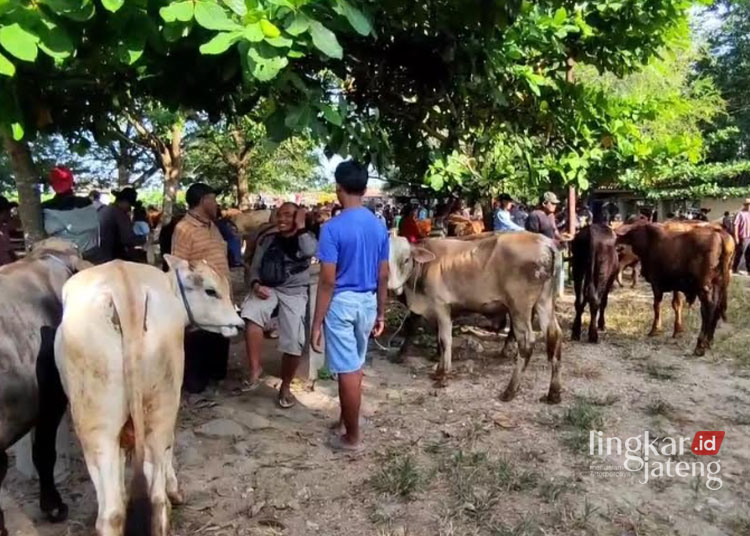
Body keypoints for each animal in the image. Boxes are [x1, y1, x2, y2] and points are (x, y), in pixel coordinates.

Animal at [55, 255, 244, 536]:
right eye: (211, 290)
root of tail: (125, 287)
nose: (239, 323)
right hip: (157, 408)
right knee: (152, 497)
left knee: (116, 512)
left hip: (99, 427)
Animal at [388, 232, 564, 404]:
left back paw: (510, 391)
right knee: (554, 335)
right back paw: (553, 394)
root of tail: (545, 242)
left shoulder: (442, 307)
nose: (391, 285)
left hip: (519, 306)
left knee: (526, 342)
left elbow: (445, 341)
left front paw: (443, 375)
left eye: (406, 259)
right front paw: (438, 369)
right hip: (544, 301)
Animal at [616, 222, 736, 356]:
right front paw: (677, 330)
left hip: (704, 288)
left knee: (708, 310)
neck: (649, 240)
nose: (619, 248)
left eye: (634, 236)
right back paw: (709, 341)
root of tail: (720, 234)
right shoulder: (676, 286)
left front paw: (655, 329)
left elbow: (656, 305)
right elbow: (677, 305)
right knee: (717, 309)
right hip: (719, 286)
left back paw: (700, 345)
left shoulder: (656, 283)